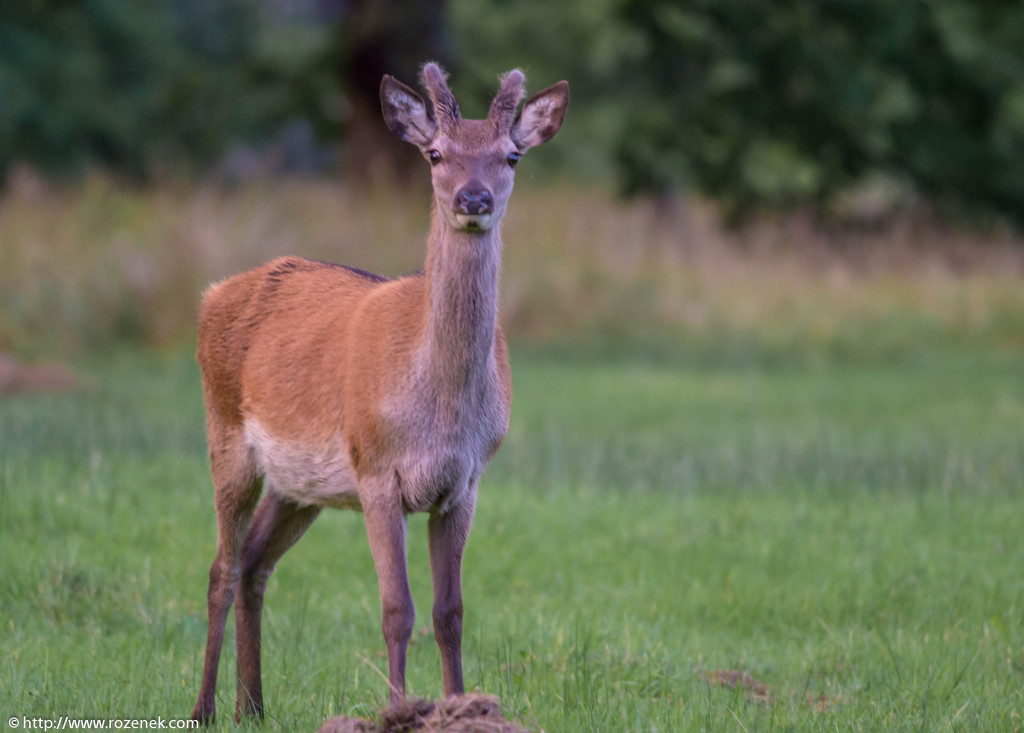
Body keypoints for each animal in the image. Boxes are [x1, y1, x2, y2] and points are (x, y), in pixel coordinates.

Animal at [190, 64, 569, 728]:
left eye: (512, 155)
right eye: (436, 153)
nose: (474, 200)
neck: (439, 412)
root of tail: (211, 295)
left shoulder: (465, 482)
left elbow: (450, 612)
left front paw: (460, 707)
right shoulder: (376, 470)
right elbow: (398, 608)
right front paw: (398, 710)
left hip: (299, 484)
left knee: (256, 563)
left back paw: (253, 706)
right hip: (226, 432)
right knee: (222, 567)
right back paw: (206, 709)